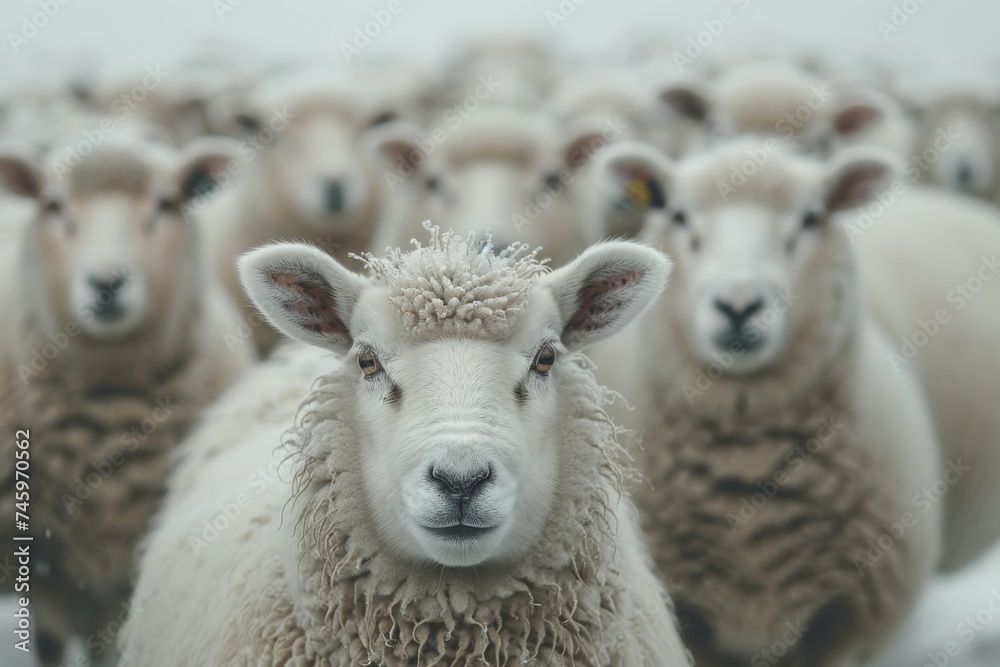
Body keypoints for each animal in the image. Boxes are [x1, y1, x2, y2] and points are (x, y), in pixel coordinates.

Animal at [0, 132, 254, 667]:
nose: (107, 282)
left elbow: (108, 647)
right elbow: (49, 643)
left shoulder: (124, 563)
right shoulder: (43, 560)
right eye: (53, 204)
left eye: (167, 202)